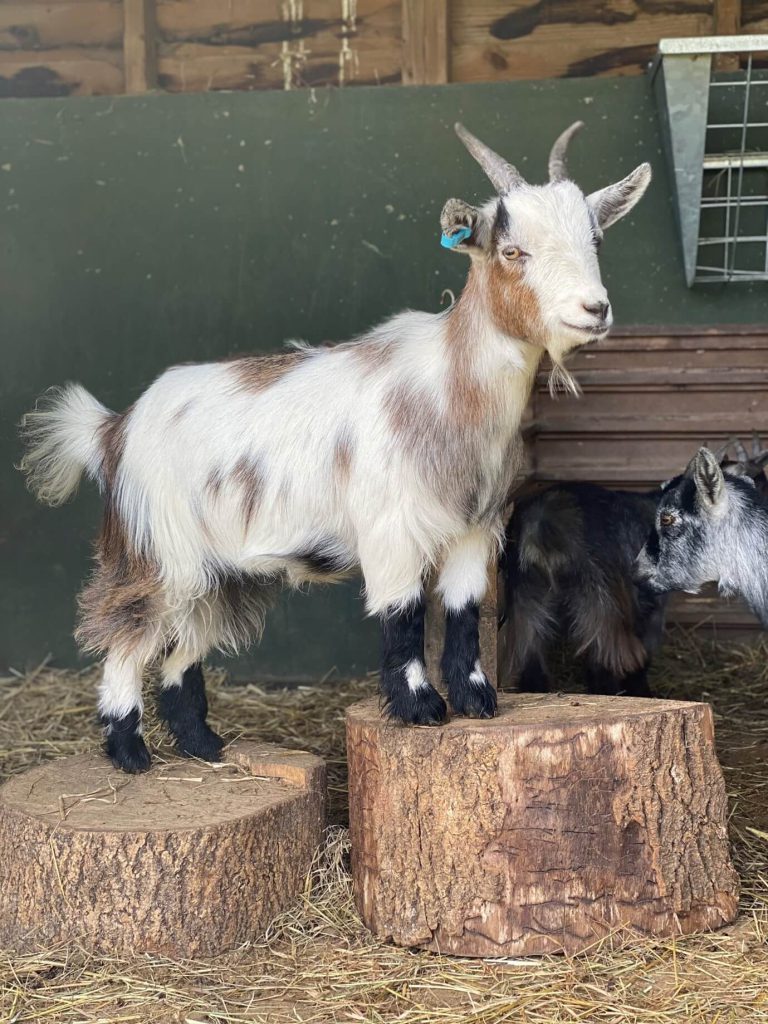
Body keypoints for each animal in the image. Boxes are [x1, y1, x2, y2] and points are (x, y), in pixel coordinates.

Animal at [20, 121, 651, 773]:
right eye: (511, 251)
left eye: (596, 239)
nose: (594, 309)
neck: (449, 391)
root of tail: (115, 427)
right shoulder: (390, 530)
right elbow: (402, 614)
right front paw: (420, 709)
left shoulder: (475, 529)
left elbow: (462, 610)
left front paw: (477, 701)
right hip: (158, 550)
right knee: (126, 638)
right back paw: (130, 752)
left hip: (221, 572)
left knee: (183, 647)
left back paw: (203, 746)